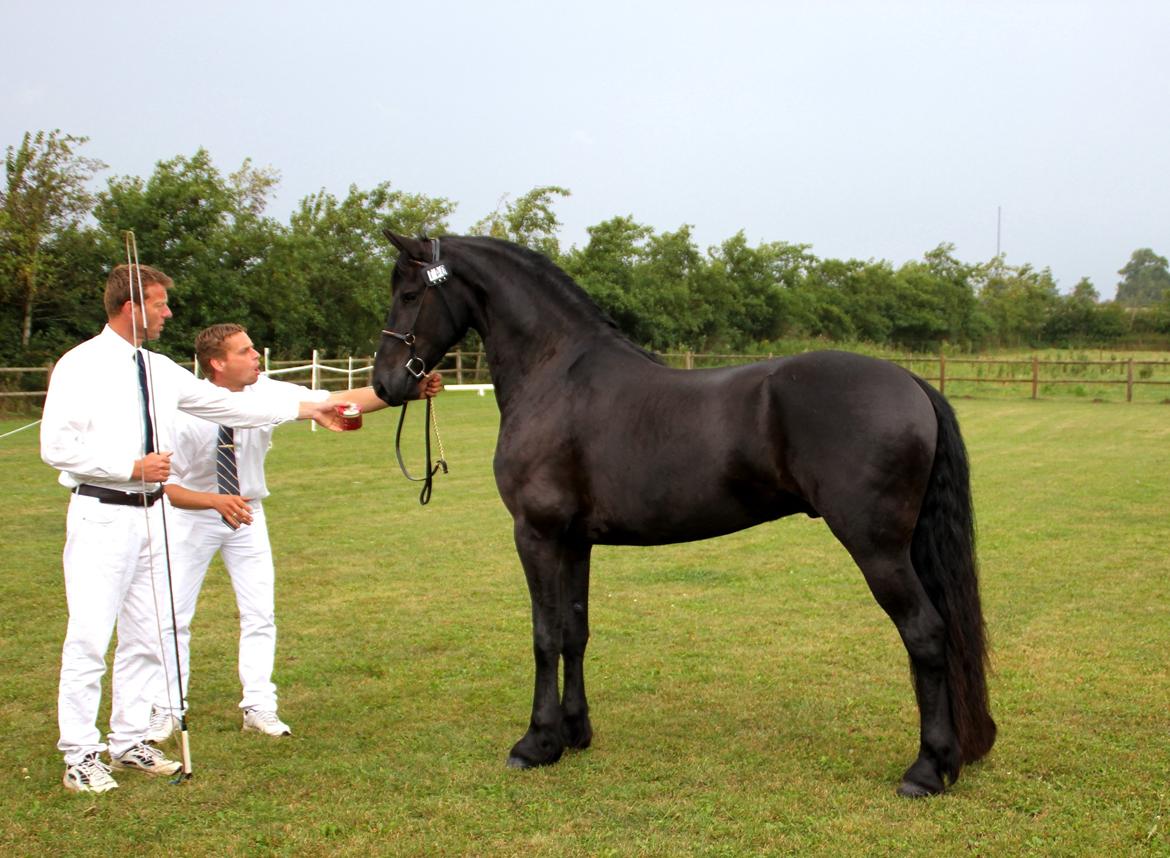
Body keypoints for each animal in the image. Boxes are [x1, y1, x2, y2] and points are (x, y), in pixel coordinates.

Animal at [374, 232, 996, 795]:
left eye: (409, 293)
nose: (386, 382)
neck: (555, 374)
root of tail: (910, 381)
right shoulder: (575, 541)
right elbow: (575, 632)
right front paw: (574, 734)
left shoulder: (538, 534)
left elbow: (544, 636)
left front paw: (536, 744)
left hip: (877, 549)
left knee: (925, 633)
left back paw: (926, 771)